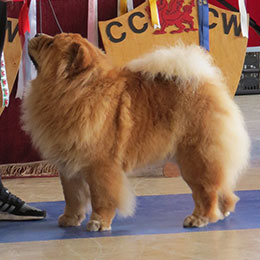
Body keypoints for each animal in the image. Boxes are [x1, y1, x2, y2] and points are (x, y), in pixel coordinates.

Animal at [22, 33, 250, 232]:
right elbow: (73, 197)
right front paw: (69, 219)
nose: (37, 33)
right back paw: (223, 211)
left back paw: (200, 218)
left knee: (206, 191)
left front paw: (98, 223)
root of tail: (206, 82)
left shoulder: (100, 166)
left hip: (195, 158)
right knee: (223, 187)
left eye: (50, 44)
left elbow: (101, 197)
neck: (73, 92)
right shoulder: (69, 167)